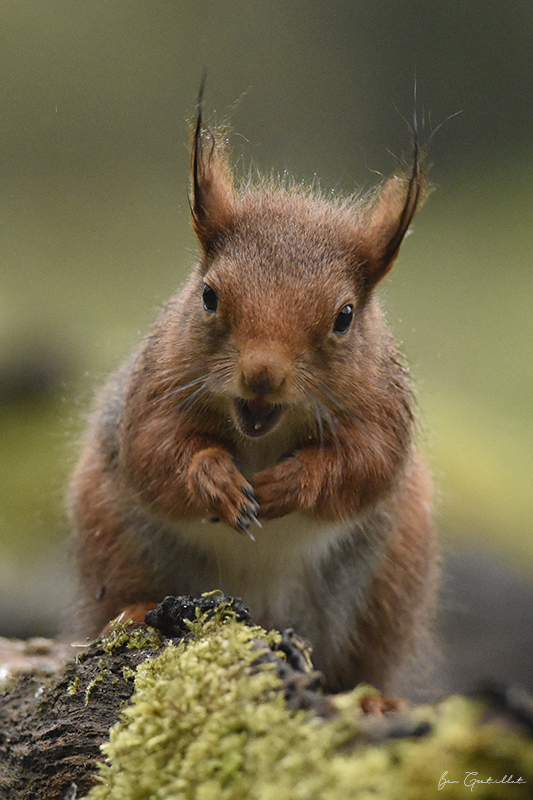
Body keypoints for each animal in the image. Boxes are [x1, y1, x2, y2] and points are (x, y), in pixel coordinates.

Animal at [69, 92, 436, 692]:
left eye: (345, 317)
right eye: (208, 296)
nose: (262, 375)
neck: (265, 431)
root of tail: (258, 610)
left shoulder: (383, 411)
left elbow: (365, 466)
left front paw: (293, 481)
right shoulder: (153, 389)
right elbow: (155, 452)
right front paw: (215, 479)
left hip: (390, 582)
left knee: (364, 664)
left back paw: (373, 699)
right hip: (112, 533)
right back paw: (136, 611)